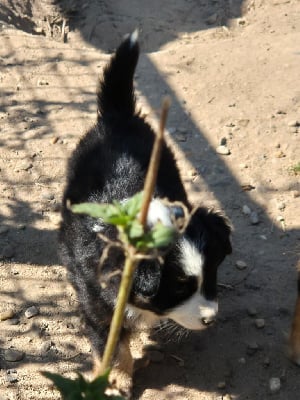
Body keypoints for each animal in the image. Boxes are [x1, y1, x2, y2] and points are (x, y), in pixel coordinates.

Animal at [58, 32, 232, 396]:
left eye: (211, 274)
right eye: (179, 289)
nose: (211, 318)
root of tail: (117, 116)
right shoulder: (96, 301)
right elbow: (112, 347)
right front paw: (115, 381)